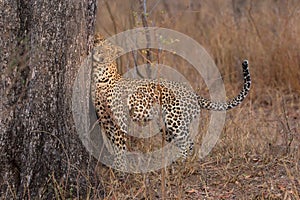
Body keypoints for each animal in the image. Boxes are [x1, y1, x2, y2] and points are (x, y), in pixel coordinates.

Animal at [91, 34, 251, 170]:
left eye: (108, 50)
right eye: (99, 47)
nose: (100, 54)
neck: (101, 76)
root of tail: (192, 92)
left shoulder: (120, 119)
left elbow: (120, 145)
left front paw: (120, 169)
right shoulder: (106, 120)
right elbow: (114, 143)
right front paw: (115, 165)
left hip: (175, 121)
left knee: (187, 143)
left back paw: (181, 163)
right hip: (166, 127)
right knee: (185, 143)